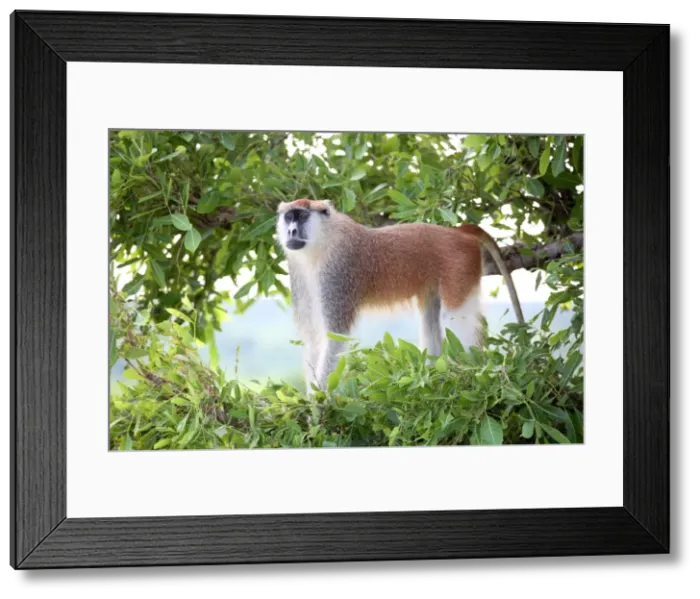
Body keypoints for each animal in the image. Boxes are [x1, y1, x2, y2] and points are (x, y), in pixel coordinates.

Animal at [275, 198, 525, 395]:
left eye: (301, 216)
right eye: (289, 217)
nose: (291, 231)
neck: (323, 240)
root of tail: (458, 231)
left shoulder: (337, 274)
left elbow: (335, 336)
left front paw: (318, 403)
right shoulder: (301, 274)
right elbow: (313, 337)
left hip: (461, 265)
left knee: (456, 316)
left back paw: (470, 373)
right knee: (431, 315)